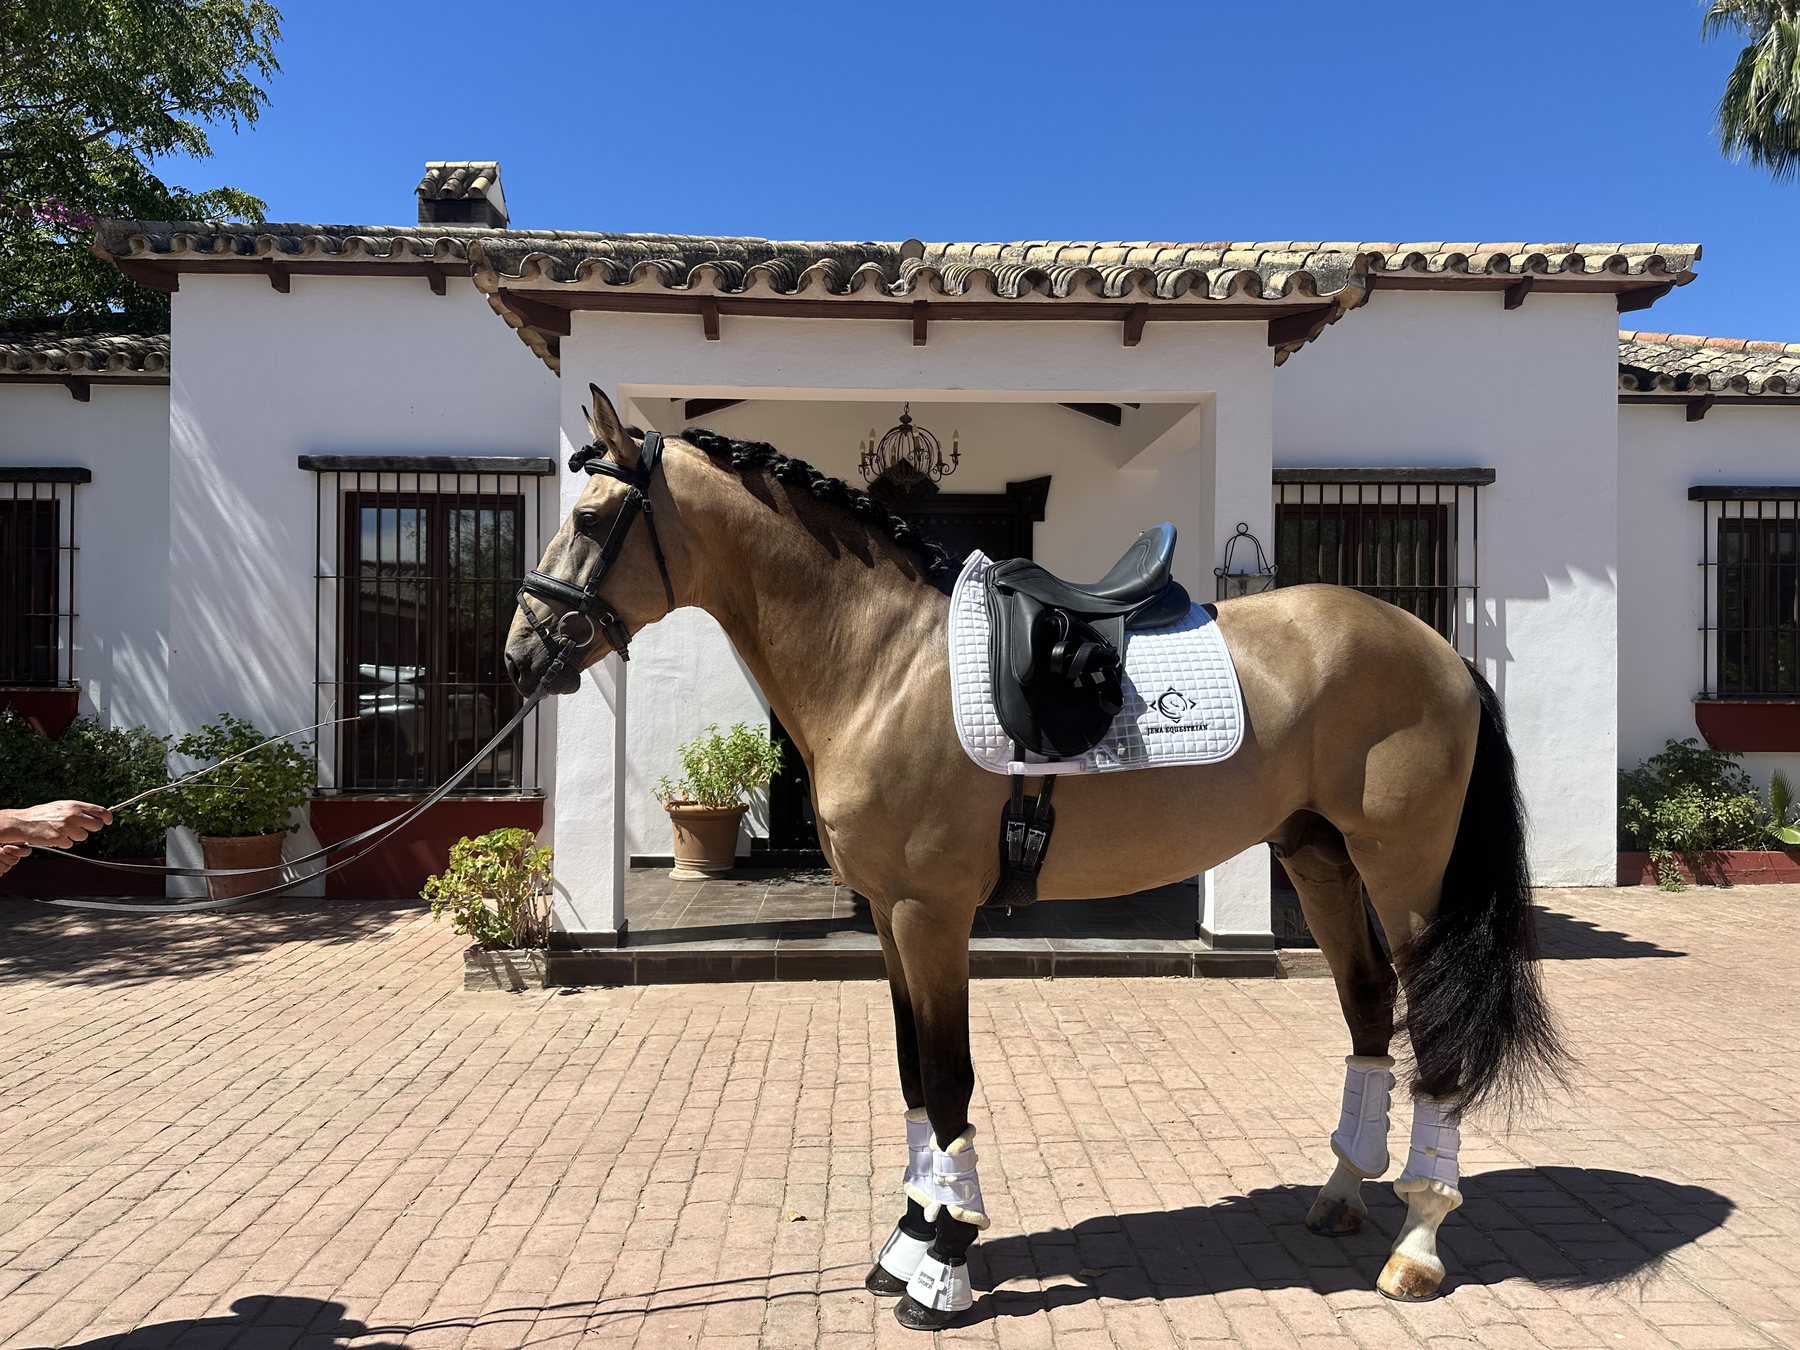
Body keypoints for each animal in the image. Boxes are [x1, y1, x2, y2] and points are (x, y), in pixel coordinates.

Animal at [504, 386, 1564, 1331]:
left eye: (592, 518)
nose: (523, 652)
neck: (881, 662)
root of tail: (1436, 650)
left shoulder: (932, 913)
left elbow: (947, 1079)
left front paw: (944, 1265)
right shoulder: (888, 913)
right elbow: (911, 1076)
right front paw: (909, 1238)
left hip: (1405, 870)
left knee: (1437, 1032)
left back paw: (1417, 1245)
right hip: (1320, 859)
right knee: (1368, 1004)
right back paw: (1343, 1191)